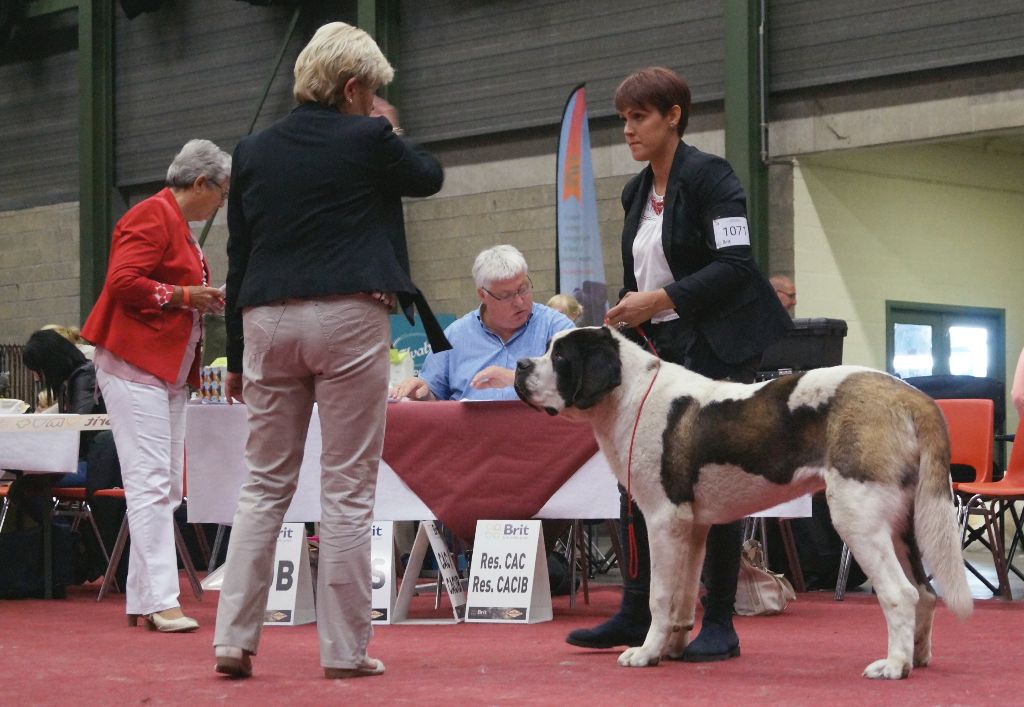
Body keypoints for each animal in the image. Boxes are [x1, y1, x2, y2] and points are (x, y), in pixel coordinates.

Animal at [516, 325, 970, 676]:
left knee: (902, 593)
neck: (628, 393)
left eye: (560, 356)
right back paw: (918, 657)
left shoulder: (662, 520)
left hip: (858, 516)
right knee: (925, 593)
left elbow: (659, 595)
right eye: (547, 349)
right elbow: (682, 598)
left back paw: (894, 666)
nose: (521, 365)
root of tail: (911, 395)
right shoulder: (692, 527)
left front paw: (645, 653)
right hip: (902, 525)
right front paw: (671, 650)